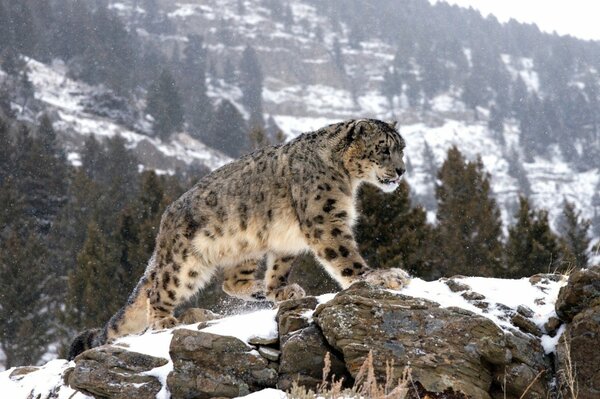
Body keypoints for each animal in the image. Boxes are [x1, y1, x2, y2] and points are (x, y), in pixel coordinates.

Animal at [68, 119, 410, 360]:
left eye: (402, 148)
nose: (401, 170)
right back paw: (165, 320)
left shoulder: (287, 239)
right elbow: (345, 256)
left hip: (246, 246)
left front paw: (280, 289)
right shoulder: (324, 219)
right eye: (383, 148)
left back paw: (260, 290)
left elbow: (279, 266)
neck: (348, 180)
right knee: (158, 289)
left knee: (230, 282)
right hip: (184, 264)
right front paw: (380, 276)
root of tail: (164, 222)